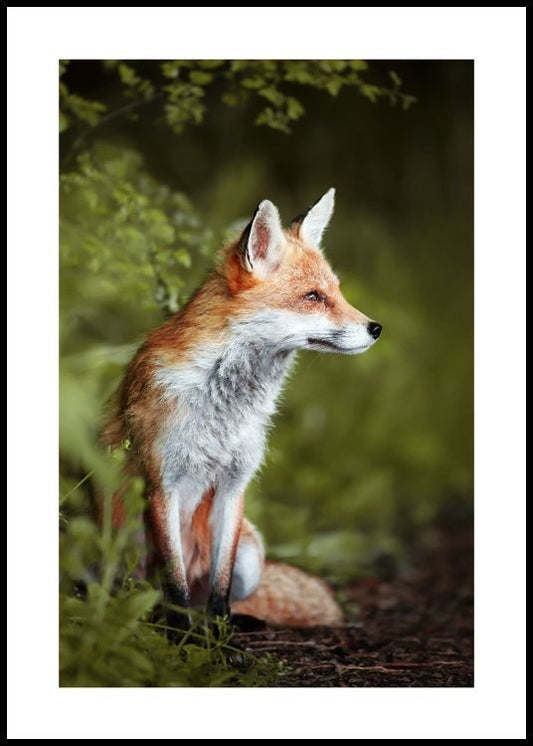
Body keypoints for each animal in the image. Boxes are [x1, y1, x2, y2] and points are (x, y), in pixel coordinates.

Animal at [102, 188, 382, 632]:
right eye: (313, 297)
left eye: (336, 292)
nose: (376, 328)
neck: (224, 405)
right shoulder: (162, 483)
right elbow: (175, 583)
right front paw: (182, 638)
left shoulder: (236, 484)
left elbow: (221, 585)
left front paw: (220, 638)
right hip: (119, 541)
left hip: (253, 553)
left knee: (220, 596)